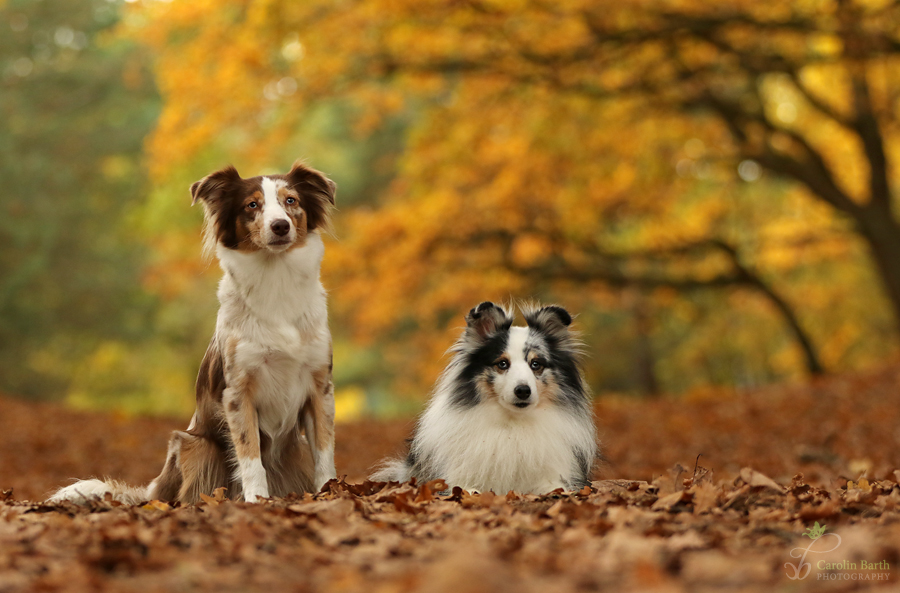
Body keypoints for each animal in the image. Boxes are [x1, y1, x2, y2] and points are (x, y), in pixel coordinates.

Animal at [50, 161, 338, 500]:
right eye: (252, 205)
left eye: (290, 200)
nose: (280, 226)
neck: (276, 280)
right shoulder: (238, 392)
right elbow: (250, 455)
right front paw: (256, 500)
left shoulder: (320, 386)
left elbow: (325, 451)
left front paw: (330, 491)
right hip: (194, 445)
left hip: (295, 446)